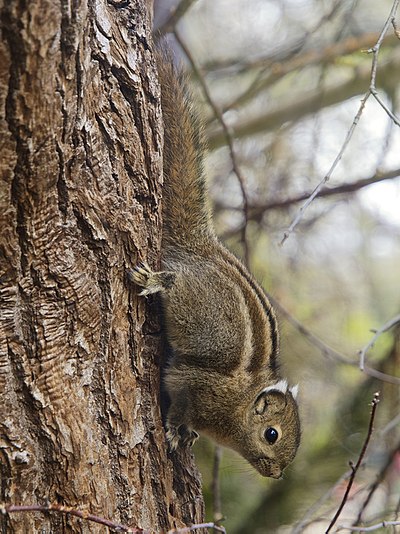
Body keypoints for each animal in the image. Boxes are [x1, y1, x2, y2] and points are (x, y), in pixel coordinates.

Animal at [130, 52, 302, 480]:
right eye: (271, 434)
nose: (276, 474)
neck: (240, 403)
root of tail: (200, 248)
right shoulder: (196, 386)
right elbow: (181, 405)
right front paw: (176, 431)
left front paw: (187, 434)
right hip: (194, 301)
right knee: (174, 282)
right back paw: (156, 280)